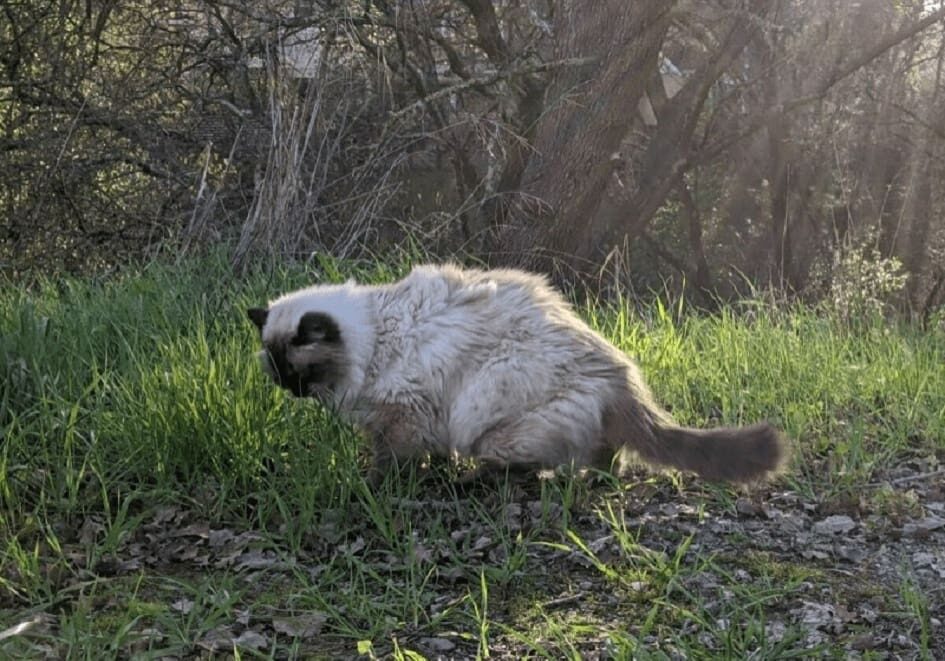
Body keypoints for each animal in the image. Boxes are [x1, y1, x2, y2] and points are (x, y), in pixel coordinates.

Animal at [247, 264, 784, 484]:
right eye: (275, 368)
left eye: (297, 368)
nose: (290, 391)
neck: (372, 339)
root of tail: (619, 374)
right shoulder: (422, 418)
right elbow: (430, 454)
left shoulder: (402, 416)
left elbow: (390, 461)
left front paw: (375, 485)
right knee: (609, 454)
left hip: (493, 424)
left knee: (533, 460)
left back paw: (483, 478)